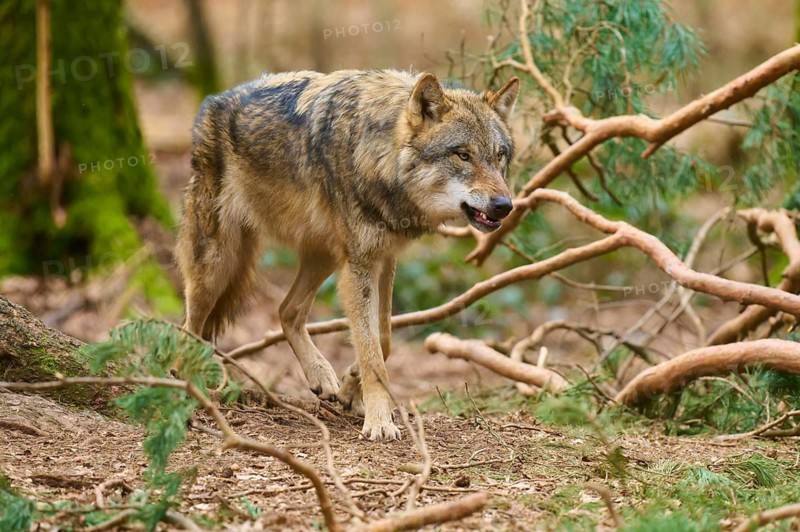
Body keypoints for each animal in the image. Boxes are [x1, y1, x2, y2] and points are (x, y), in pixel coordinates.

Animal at [176, 69, 518, 440]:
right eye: (463, 155)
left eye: (499, 156)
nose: (505, 205)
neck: (379, 154)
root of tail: (213, 101)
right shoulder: (360, 264)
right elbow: (371, 349)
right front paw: (380, 421)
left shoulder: (383, 258)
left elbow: (382, 341)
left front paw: (352, 387)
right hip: (216, 265)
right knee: (188, 327)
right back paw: (187, 380)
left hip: (323, 256)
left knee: (286, 311)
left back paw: (321, 375)